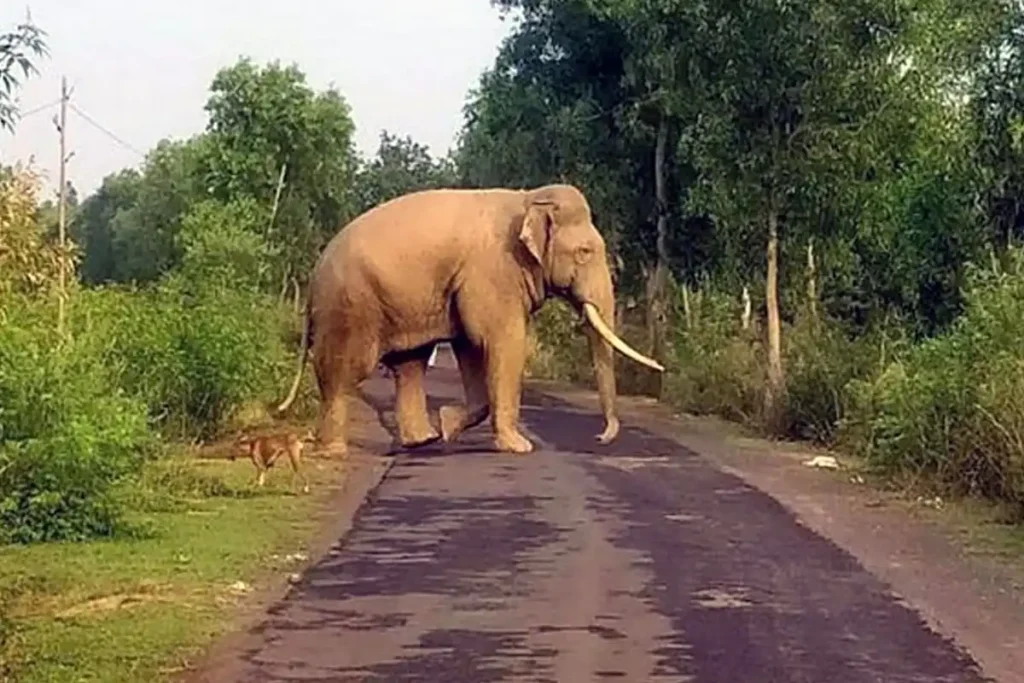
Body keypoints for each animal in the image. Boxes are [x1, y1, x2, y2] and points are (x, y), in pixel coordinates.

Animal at [275, 183, 664, 456]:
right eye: (585, 252)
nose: (600, 437)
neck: (529, 199)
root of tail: (314, 275)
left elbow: (471, 346)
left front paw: (448, 425)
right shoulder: (494, 271)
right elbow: (502, 341)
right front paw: (519, 447)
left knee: (410, 364)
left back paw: (423, 440)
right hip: (350, 306)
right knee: (345, 371)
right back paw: (334, 451)